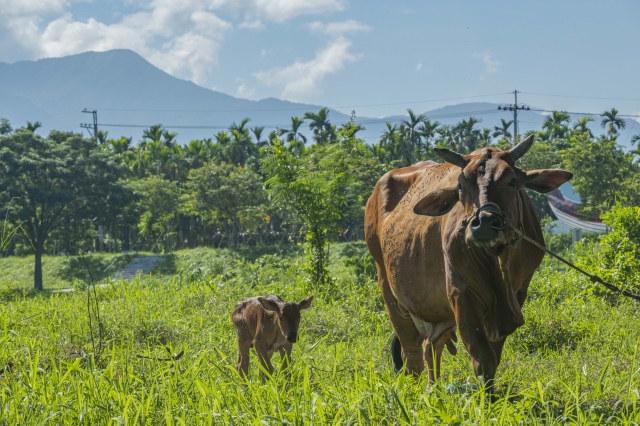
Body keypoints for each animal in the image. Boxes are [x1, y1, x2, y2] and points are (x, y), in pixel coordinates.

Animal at [368, 136, 572, 390]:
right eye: (461, 185)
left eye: (512, 180)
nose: (484, 223)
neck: (497, 260)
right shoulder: (461, 294)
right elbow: (482, 359)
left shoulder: (517, 293)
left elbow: (494, 357)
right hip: (390, 292)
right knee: (411, 355)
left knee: (431, 347)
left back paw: (433, 388)